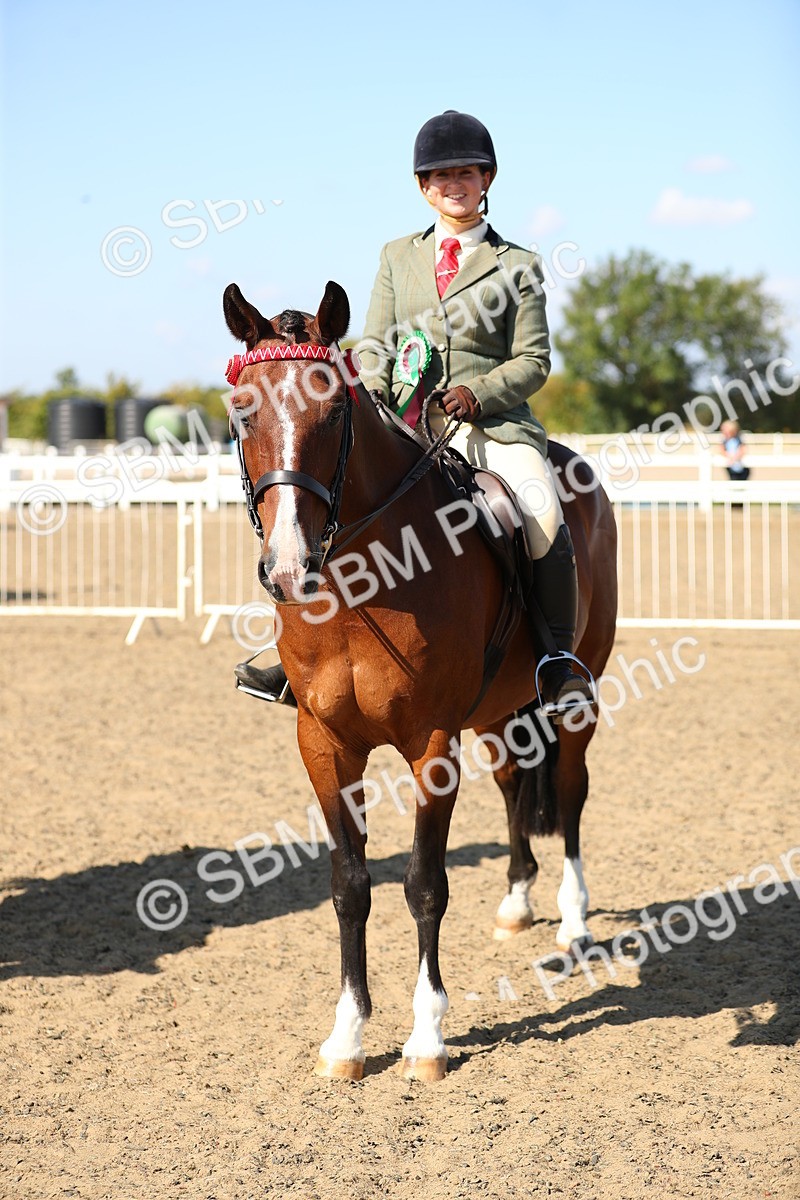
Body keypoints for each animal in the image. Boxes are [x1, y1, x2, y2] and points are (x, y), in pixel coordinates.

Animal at [223, 279, 618, 1082]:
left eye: (334, 412)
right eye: (243, 410)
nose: (289, 568)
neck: (360, 587)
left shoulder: (432, 746)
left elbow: (424, 884)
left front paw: (428, 1038)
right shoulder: (323, 745)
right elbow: (350, 886)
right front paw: (346, 1037)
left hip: (574, 701)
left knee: (568, 791)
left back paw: (572, 919)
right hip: (498, 714)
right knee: (514, 786)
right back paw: (517, 902)